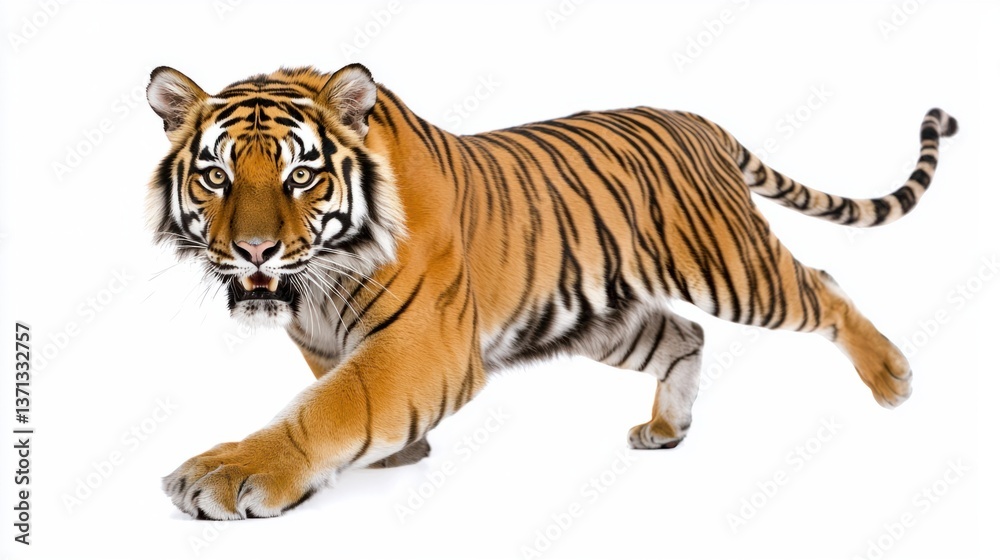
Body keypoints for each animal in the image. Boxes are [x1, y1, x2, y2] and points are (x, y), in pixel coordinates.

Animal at [146, 63, 956, 520]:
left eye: (301, 175)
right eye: (215, 175)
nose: (254, 250)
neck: (314, 284)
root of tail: (698, 119)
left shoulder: (424, 344)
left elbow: (332, 405)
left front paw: (231, 473)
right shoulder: (322, 337)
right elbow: (339, 395)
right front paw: (398, 455)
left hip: (733, 268)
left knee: (823, 284)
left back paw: (892, 377)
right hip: (603, 316)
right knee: (687, 335)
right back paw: (667, 429)